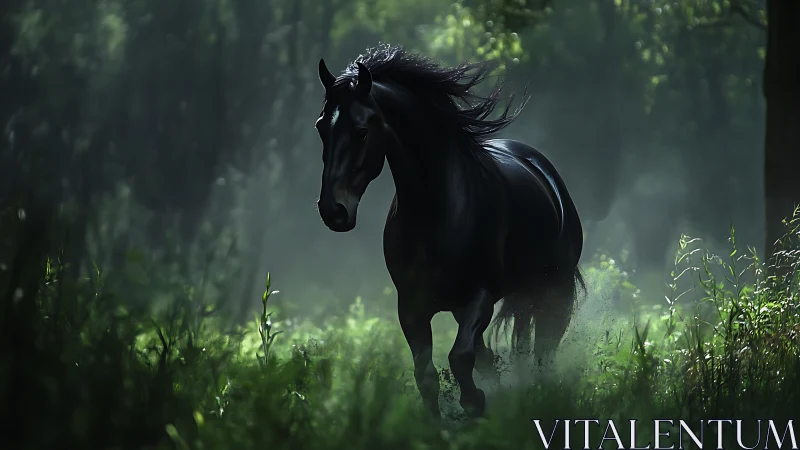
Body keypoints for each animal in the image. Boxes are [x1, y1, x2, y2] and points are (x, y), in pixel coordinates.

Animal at [313, 44, 585, 419]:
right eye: (321, 127)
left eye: (362, 130)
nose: (333, 211)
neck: (435, 213)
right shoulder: (412, 306)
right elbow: (426, 374)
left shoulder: (479, 296)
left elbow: (460, 358)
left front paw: (475, 404)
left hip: (555, 291)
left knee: (543, 353)